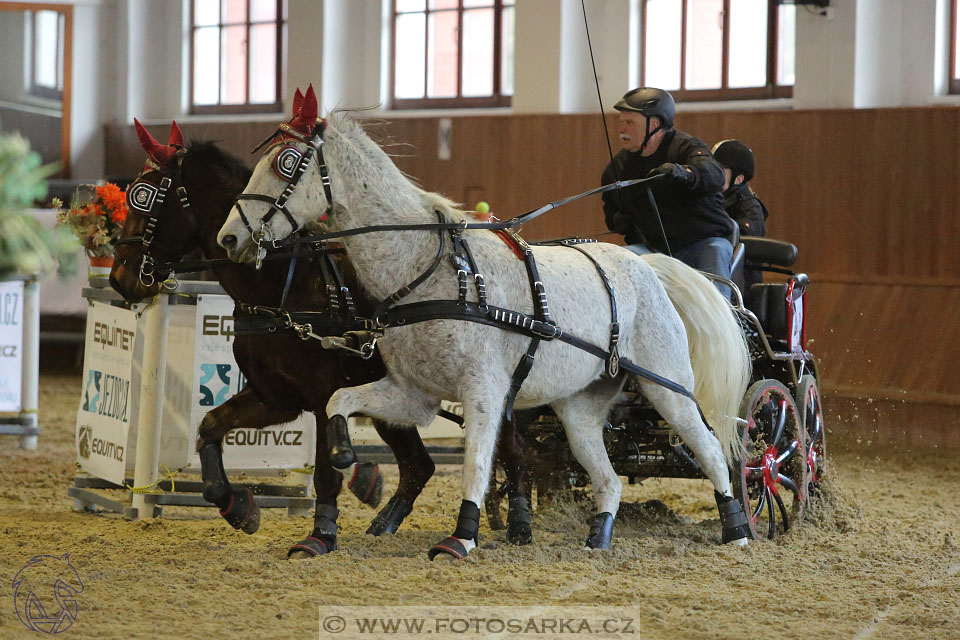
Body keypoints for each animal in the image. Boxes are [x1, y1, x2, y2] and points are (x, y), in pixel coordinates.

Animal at [112, 122, 532, 556]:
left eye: (144, 197)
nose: (119, 279)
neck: (283, 286)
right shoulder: (274, 398)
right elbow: (210, 426)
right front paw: (237, 506)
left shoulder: (319, 397)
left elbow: (326, 473)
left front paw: (321, 533)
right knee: (419, 464)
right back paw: (386, 519)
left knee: (512, 450)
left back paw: (518, 522)